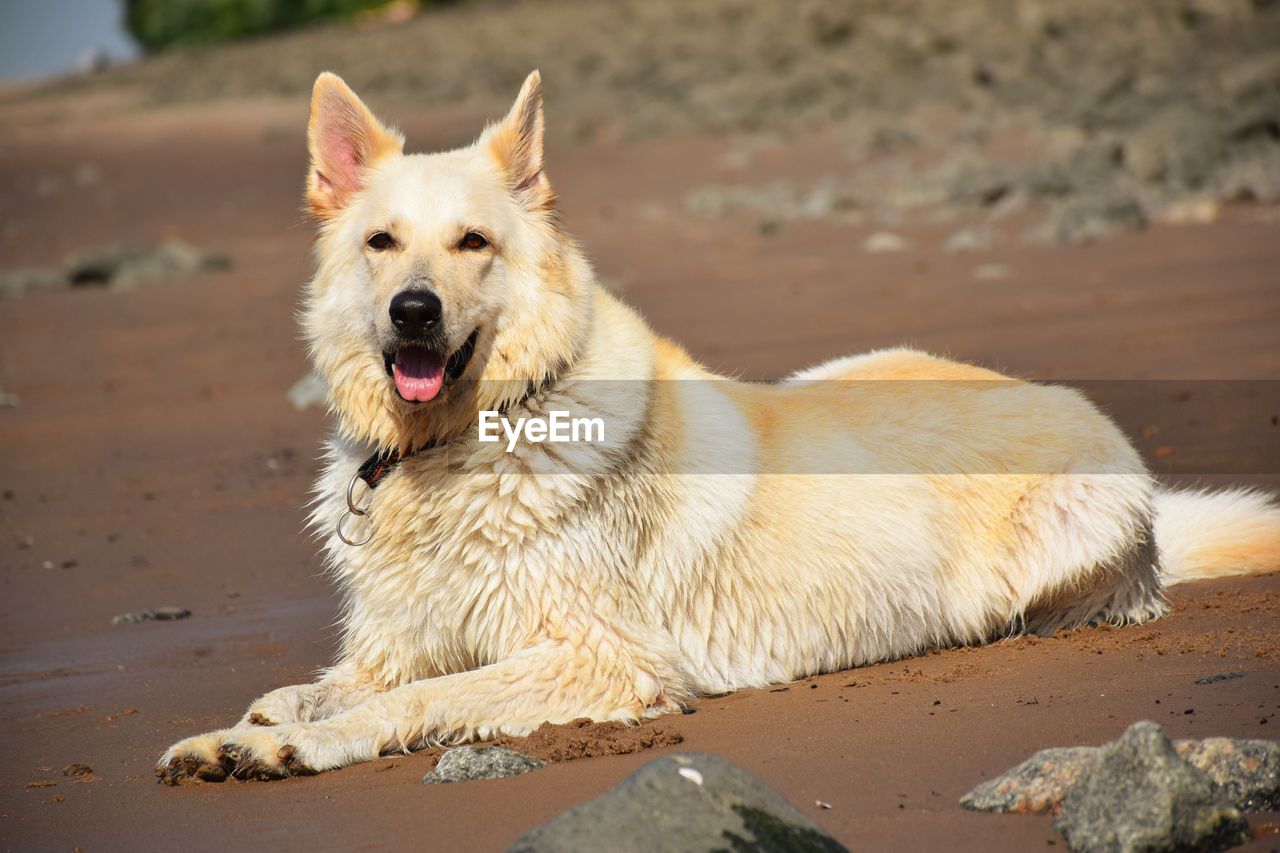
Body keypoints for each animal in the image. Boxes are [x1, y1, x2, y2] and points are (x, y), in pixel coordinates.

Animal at [157, 69, 1280, 778]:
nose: (413, 313)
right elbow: (315, 685)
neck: (469, 444)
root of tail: (1083, 406)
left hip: (1061, 536)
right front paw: (240, 731)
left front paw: (292, 749)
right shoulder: (398, 641)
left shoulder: (600, 657)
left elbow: (406, 702)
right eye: (382, 244)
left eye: (473, 242)